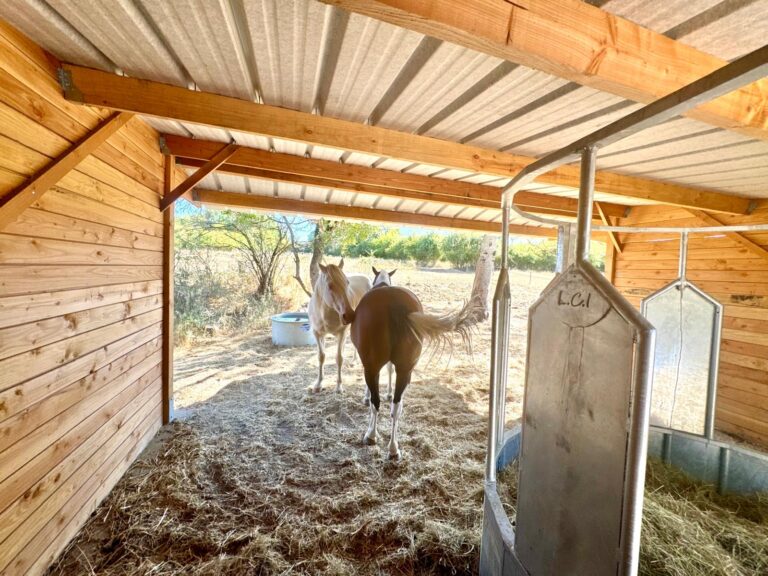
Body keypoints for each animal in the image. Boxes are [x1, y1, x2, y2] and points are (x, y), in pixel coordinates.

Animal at [308, 258, 371, 394]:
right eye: (330, 285)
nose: (350, 315)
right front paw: (318, 384)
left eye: (347, 283)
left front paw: (338, 386)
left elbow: (339, 358)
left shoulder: (342, 333)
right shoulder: (317, 333)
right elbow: (321, 356)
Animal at [350, 280, 478, 459]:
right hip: (405, 369)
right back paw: (394, 449)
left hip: (372, 367)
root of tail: (393, 302)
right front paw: (389, 393)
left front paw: (367, 399)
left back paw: (372, 436)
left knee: (377, 403)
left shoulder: (370, 367)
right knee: (396, 407)